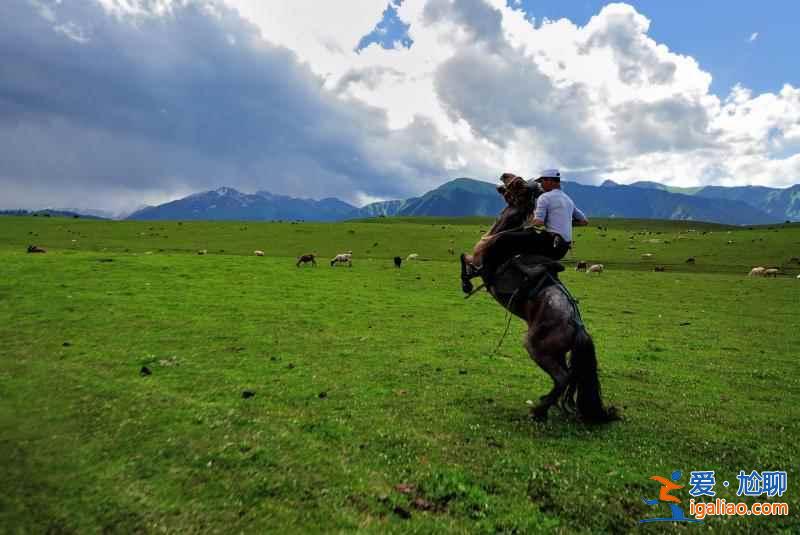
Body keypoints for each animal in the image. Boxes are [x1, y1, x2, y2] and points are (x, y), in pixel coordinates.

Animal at [460, 176, 616, 422]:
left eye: (518, 184)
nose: (503, 177)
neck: (497, 234)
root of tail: (577, 326)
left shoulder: (479, 263)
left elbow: (464, 260)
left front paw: (465, 285)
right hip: (556, 353)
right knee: (567, 377)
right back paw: (545, 405)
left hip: (537, 348)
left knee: (562, 378)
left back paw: (538, 410)